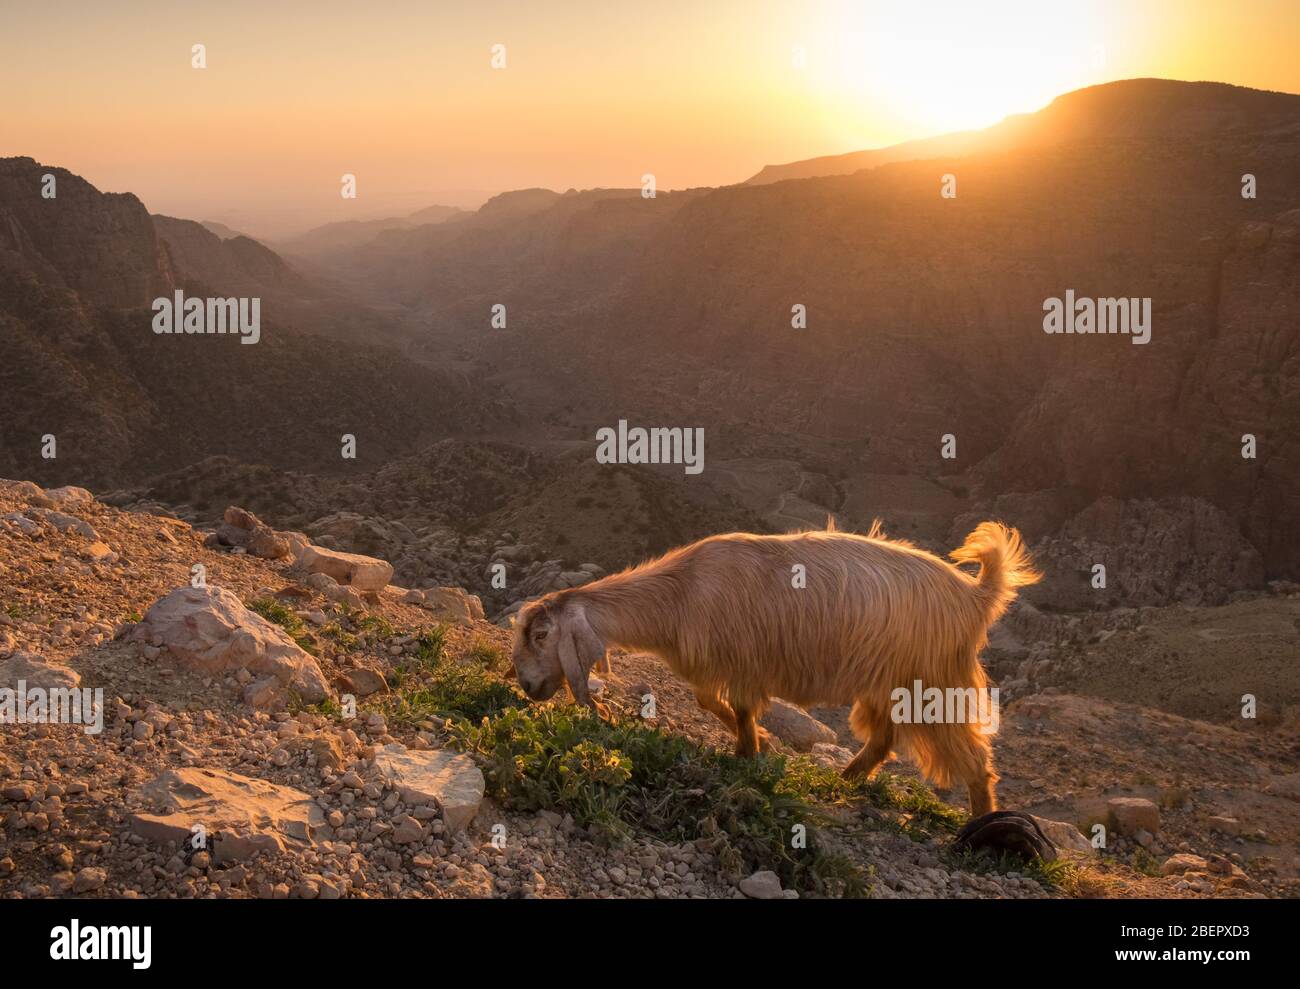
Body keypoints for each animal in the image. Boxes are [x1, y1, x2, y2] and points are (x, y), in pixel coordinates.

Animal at [509, 521, 1039, 816]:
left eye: (541, 635)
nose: (527, 685)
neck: (680, 592)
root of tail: (976, 595)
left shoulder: (746, 662)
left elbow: (739, 709)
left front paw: (748, 750)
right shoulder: (719, 665)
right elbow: (708, 700)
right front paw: (756, 742)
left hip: (933, 682)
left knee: (972, 757)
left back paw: (981, 827)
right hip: (886, 683)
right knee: (885, 738)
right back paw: (844, 781)